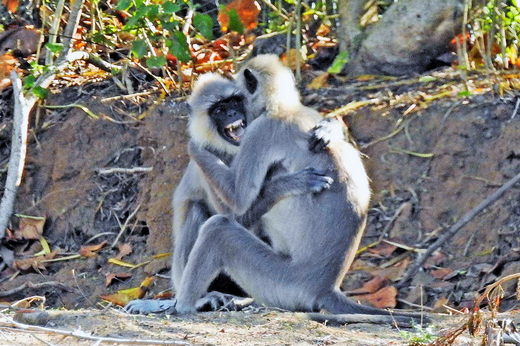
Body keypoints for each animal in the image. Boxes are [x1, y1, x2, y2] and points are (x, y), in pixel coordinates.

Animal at [126, 72, 338, 314]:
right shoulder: (204, 162)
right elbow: (233, 213)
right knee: (198, 211)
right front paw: (291, 183)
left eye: (234, 102)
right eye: (219, 109)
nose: (231, 114)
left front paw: (328, 128)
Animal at [173, 54, 420, 324]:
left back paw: (187, 305)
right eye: (219, 110)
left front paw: (194, 147)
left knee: (218, 228)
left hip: (283, 283)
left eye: (235, 100)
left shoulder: (260, 131)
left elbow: (237, 200)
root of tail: (326, 288)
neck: (285, 108)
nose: (231, 113)